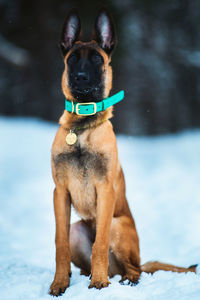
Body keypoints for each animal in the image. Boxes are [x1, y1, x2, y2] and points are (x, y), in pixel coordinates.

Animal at [48, 8, 197, 296]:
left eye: (97, 59)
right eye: (72, 59)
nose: (81, 78)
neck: (82, 127)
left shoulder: (105, 191)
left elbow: (100, 243)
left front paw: (99, 283)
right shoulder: (59, 193)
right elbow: (60, 244)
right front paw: (60, 283)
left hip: (119, 227)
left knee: (134, 270)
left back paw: (119, 279)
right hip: (76, 229)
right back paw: (87, 276)